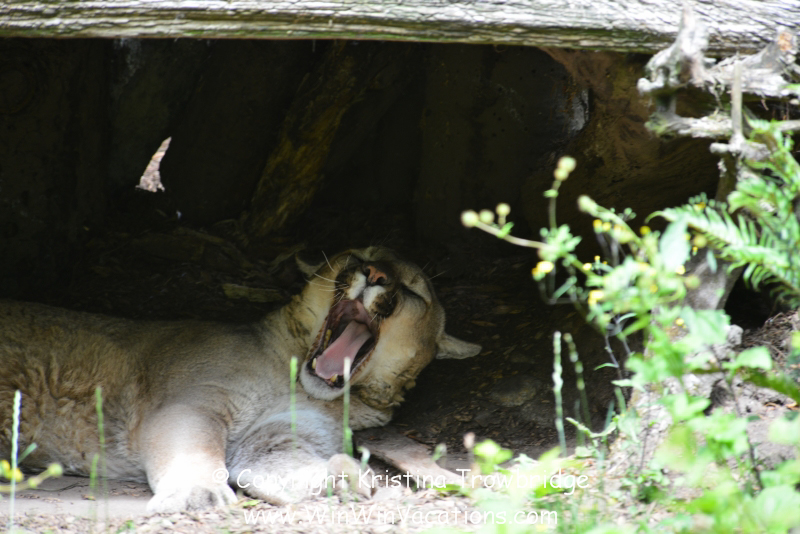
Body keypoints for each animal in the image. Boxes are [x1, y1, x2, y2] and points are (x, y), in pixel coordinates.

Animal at [0, 246, 480, 513]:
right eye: (360, 256)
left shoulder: (274, 437)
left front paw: (339, 474)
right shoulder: (194, 406)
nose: (375, 275)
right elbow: (194, 447)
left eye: (414, 290)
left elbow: (280, 467)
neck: (297, 379)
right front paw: (198, 493)